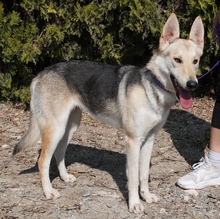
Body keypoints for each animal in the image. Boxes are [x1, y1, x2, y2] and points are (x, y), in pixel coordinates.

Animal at [12, 12, 204, 213]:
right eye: (177, 60)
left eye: (195, 61)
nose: (193, 84)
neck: (152, 88)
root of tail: (40, 75)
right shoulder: (133, 141)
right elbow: (133, 177)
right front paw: (135, 203)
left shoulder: (149, 140)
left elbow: (143, 174)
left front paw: (146, 196)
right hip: (55, 128)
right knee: (42, 161)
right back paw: (48, 191)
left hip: (69, 127)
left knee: (59, 152)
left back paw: (64, 177)